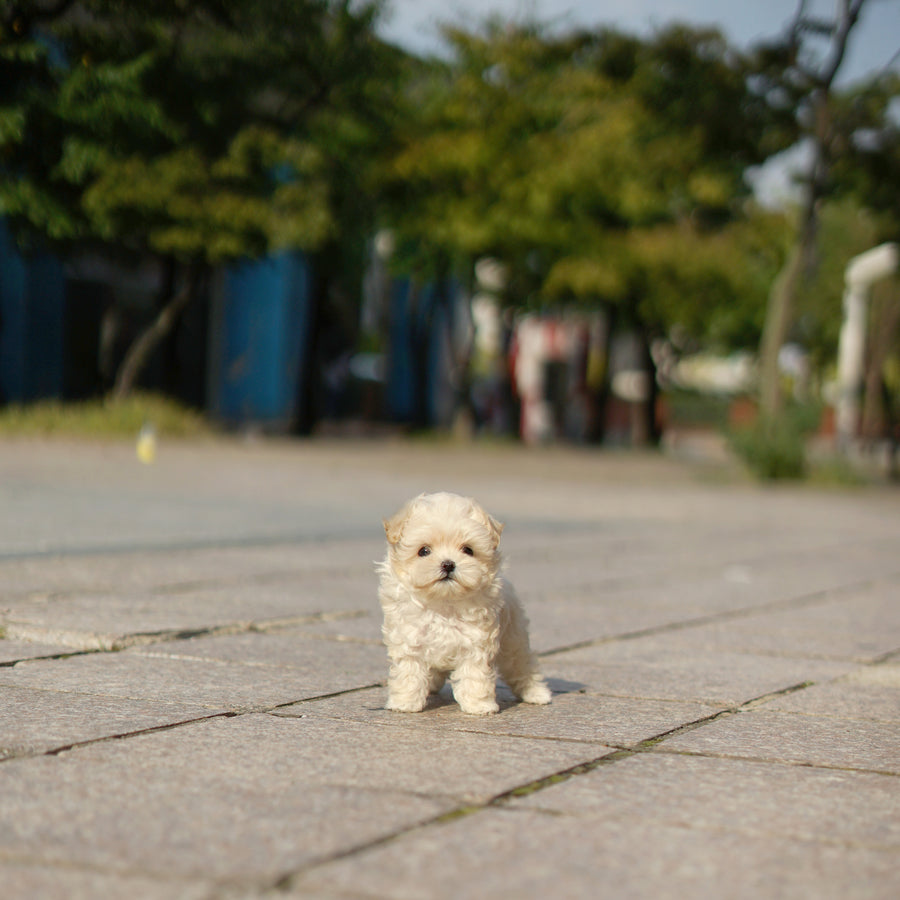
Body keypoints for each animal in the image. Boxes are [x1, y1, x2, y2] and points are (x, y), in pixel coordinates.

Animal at [378, 488, 552, 712]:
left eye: (468, 550)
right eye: (424, 551)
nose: (448, 564)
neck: (444, 603)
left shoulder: (476, 643)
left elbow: (475, 675)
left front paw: (479, 705)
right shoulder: (410, 639)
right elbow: (409, 672)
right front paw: (405, 702)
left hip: (513, 637)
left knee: (522, 664)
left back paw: (537, 693)